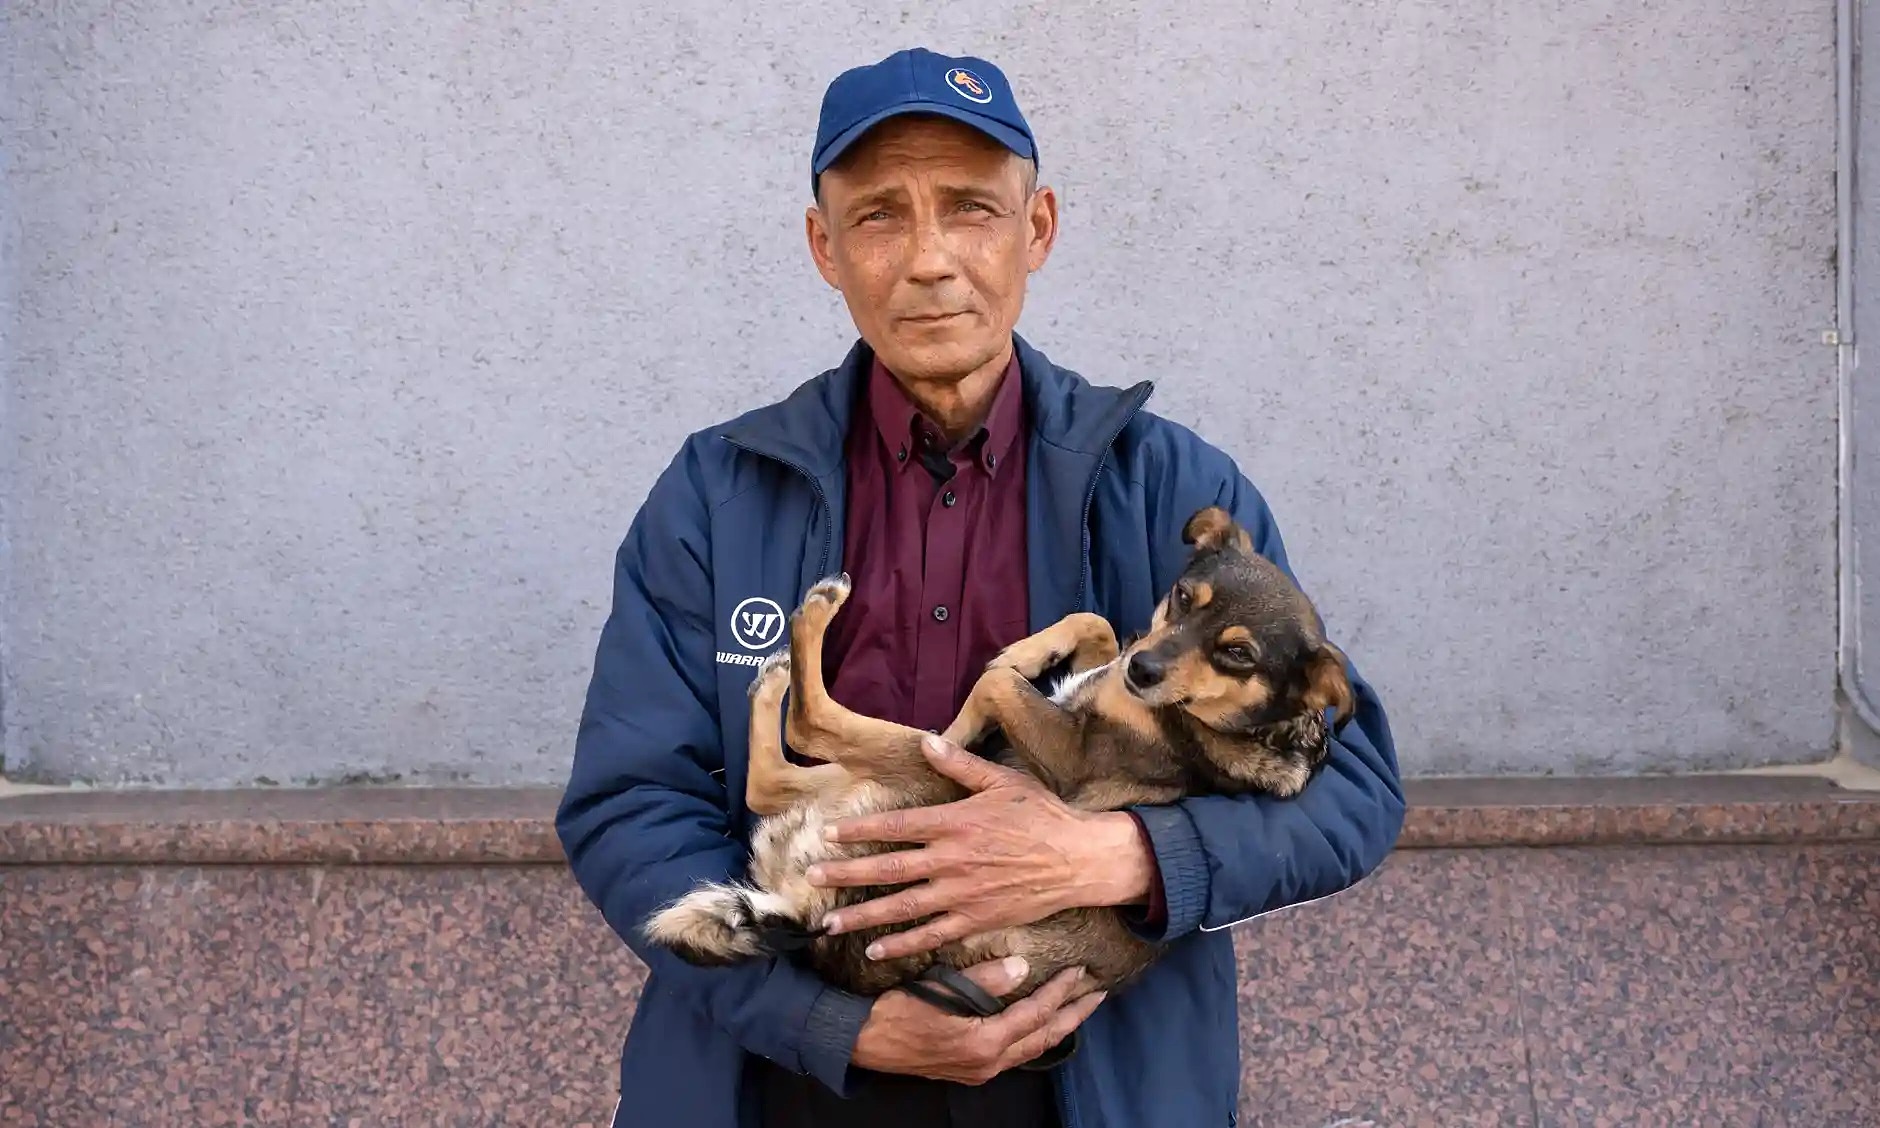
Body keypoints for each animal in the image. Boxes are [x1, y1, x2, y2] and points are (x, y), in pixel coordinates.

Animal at [646, 507, 1353, 1045]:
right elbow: (1094, 627)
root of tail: (809, 921)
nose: (1145, 670)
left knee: (809, 731)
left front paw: (972, 713)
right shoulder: (1098, 680)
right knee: (773, 776)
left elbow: (994, 683)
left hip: (926, 781)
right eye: (1184, 597)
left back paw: (816, 627)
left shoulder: (1068, 756)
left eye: (1237, 654)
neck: (1239, 724)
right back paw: (778, 676)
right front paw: (1041, 651)